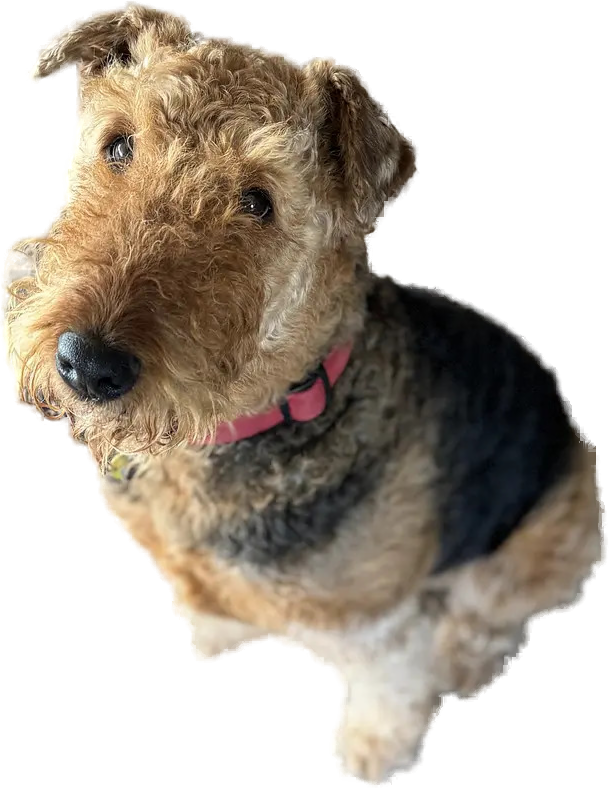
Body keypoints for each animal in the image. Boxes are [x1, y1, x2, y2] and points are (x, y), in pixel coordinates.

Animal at [5, 6, 607, 785]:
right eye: (119, 144)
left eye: (258, 201)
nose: (88, 365)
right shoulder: (201, 595)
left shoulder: (379, 626)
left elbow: (384, 696)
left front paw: (368, 754)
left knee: (480, 619)